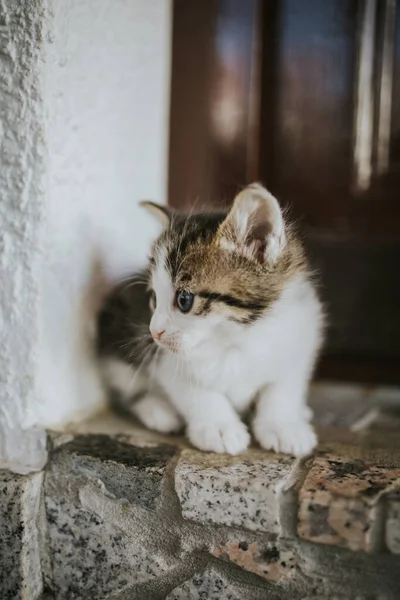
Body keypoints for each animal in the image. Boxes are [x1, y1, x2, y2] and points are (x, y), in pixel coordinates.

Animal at [97, 183, 324, 454]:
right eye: (153, 298)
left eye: (184, 299)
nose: (154, 332)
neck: (238, 337)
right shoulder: (163, 358)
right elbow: (195, 391)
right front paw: (219, 427)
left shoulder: (301, 335)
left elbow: (282, 387)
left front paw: (283, 425)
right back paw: (157, 410)